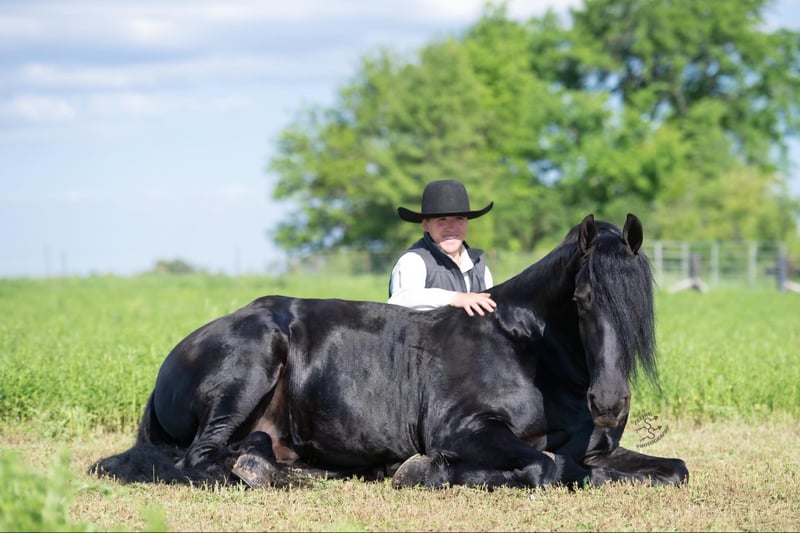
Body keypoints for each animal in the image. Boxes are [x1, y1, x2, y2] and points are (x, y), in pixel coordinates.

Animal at [90, 213, 688, 489]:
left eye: (643, 301)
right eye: (583, 300)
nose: (608, 402)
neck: (524, 352)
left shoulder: (599, 450)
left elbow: (673, 468)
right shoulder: (465, 430)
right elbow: (543, 466)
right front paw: (425, 470)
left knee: (247, 453)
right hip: (249, 367)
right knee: (201, 460)